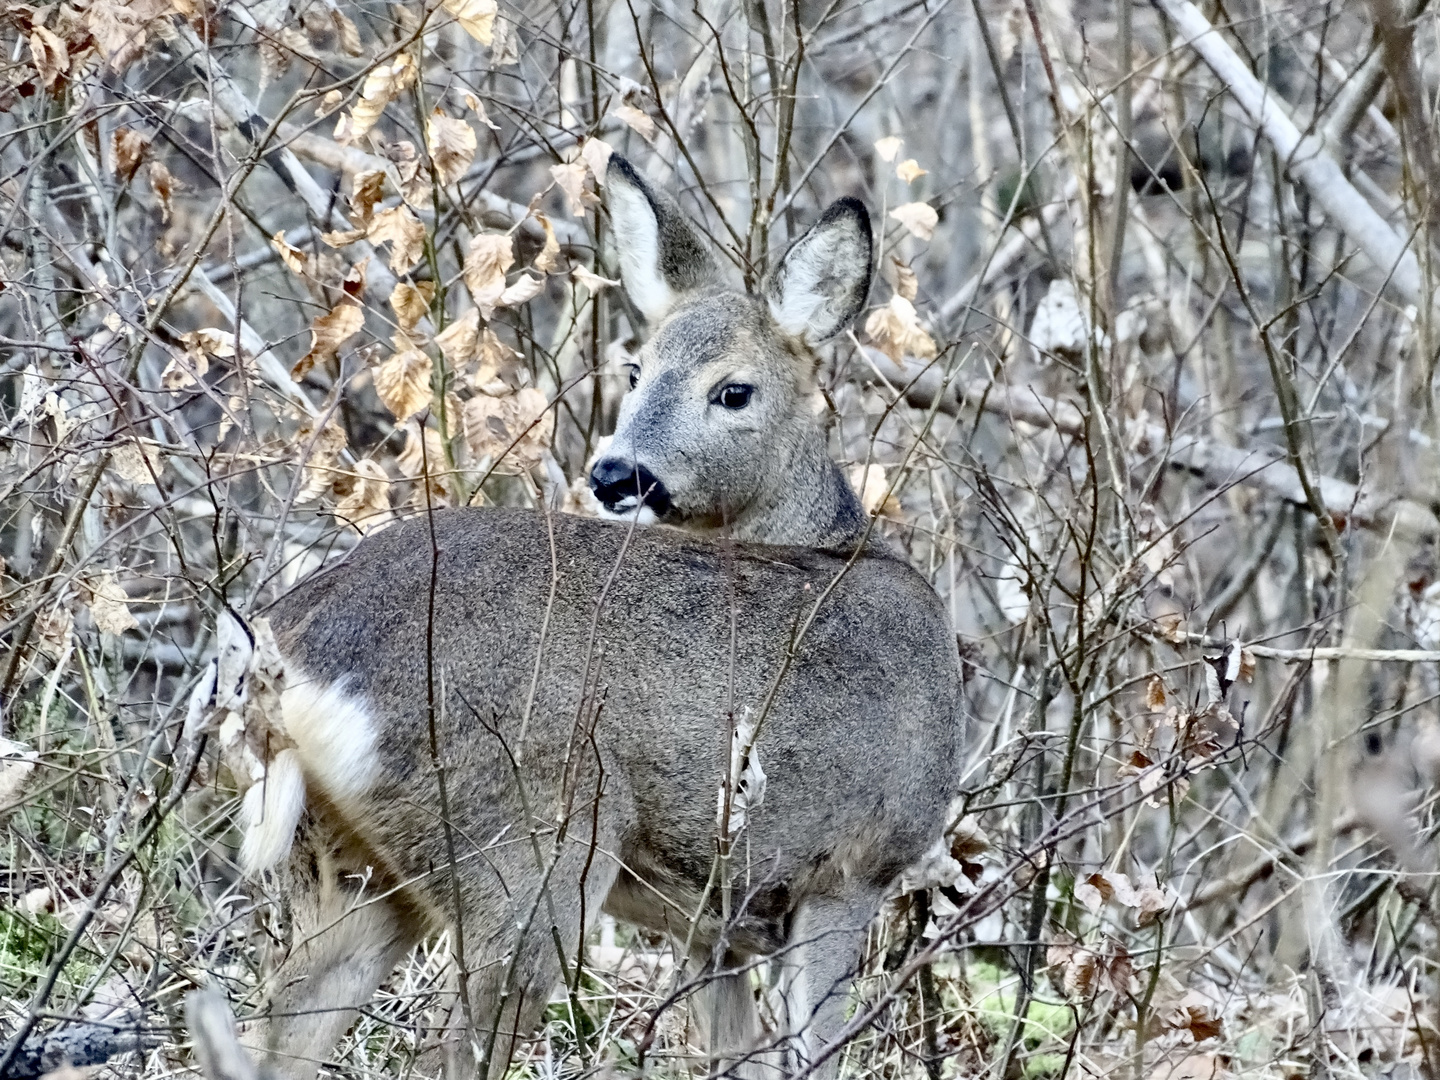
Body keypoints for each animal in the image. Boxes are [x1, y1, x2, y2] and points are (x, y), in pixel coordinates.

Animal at [239, 154, 967, 1080]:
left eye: (734, 390)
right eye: (636, 370)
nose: (617, 473)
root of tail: (289, 664)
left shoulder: (712, 923)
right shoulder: (853, 862)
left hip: (347, 873)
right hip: (529, 850)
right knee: (447, 1050)